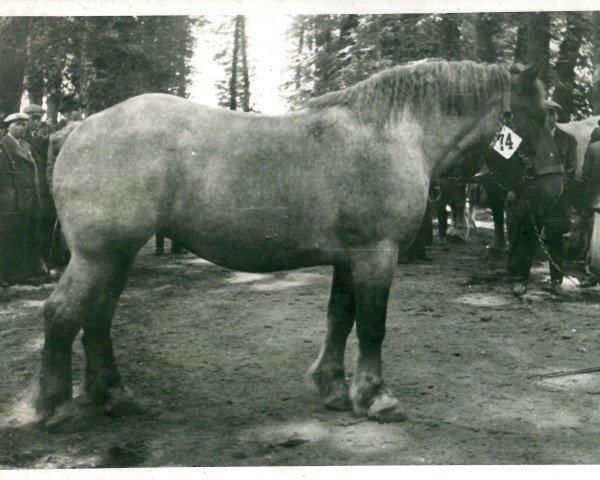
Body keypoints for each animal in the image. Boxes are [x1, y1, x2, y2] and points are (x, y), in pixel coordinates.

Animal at [36, 58, 564, 430]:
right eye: (544, 115)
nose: (556, 188)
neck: (391, 134)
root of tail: (78, 129)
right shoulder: (377, 254)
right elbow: (372, 327)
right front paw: (377, 397)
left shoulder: (350, 259)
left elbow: (339, 319)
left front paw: (332, 389)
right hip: (98, 255)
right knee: (62, 314)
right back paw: (55, 407)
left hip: (116, 257)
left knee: (97, 317)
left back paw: (114, 396)